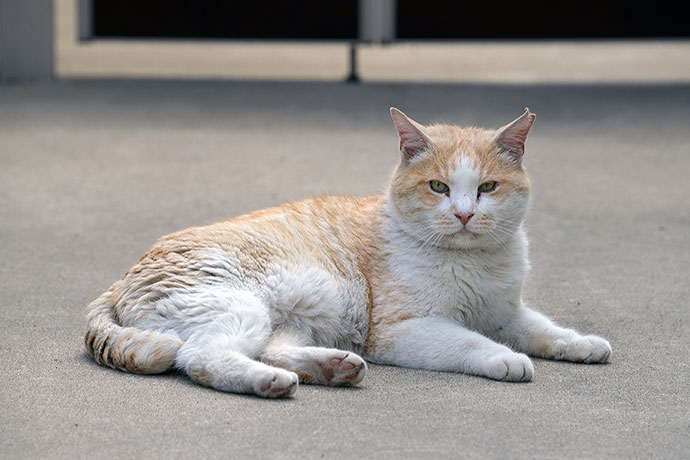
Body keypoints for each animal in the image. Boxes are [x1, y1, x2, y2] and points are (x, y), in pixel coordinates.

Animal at [84, 107, 608, 396]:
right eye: (439, 187)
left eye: (488, 188)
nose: (463, 215)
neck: (472, 263)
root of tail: (120, 278)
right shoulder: (401, 332)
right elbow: (470, 343)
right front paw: (506, 359)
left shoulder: (504, 313)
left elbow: (545, 330)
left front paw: (582, 343)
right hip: (239, 306)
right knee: (200, 358)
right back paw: (268, 382)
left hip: (300, 316)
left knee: (273, 349)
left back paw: (332, 367)